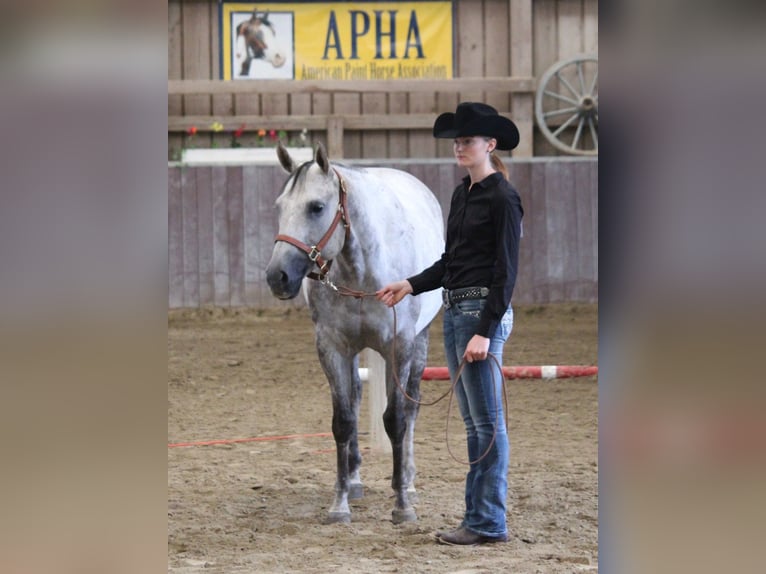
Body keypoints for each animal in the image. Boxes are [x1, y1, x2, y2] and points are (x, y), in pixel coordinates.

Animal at [265, 143, 444, 524]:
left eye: (316, 207)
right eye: (279, 207)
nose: (278, 277)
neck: (361, 273)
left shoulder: (400, 346)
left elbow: (396, 419)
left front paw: (402, 504)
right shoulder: (333, 348)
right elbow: (344, 421)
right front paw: (340, 502)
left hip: (419, 345)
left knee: (412, 407)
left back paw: (408, 481)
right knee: (358, 397)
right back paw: (355, 478)